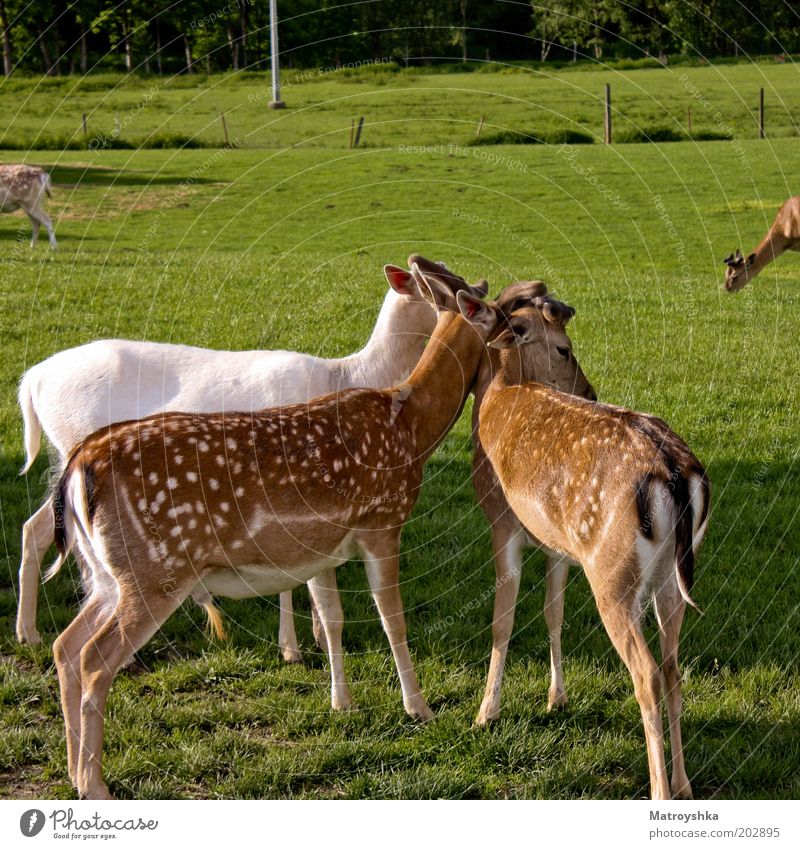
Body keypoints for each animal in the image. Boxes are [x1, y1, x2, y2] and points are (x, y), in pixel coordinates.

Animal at [48, 268, 500, 800]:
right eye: (503, 315)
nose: (527, 323)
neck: (412, 429)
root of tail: (79, 465)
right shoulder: (383, 521)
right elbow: (393, 619)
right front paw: (419, 708)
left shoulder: (324, 546)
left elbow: (332, 617)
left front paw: (340, 702)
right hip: (154, 569)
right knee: (95, 659)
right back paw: (95, 784)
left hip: (108, 574)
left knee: (66, 645)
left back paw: (74, 771)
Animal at [456, 294, 712, 800]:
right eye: (563, 348)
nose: (589, 391)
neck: (498, 395)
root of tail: (674, 474)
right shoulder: (559, 545)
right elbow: (552, 612)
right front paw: (557, 698)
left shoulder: (501, 519)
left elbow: (502, 618)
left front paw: (485, 713)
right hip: (669, 577)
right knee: (673, 667)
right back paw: (684, 784)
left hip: (612, 574)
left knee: (647, 674)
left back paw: (660, 790)